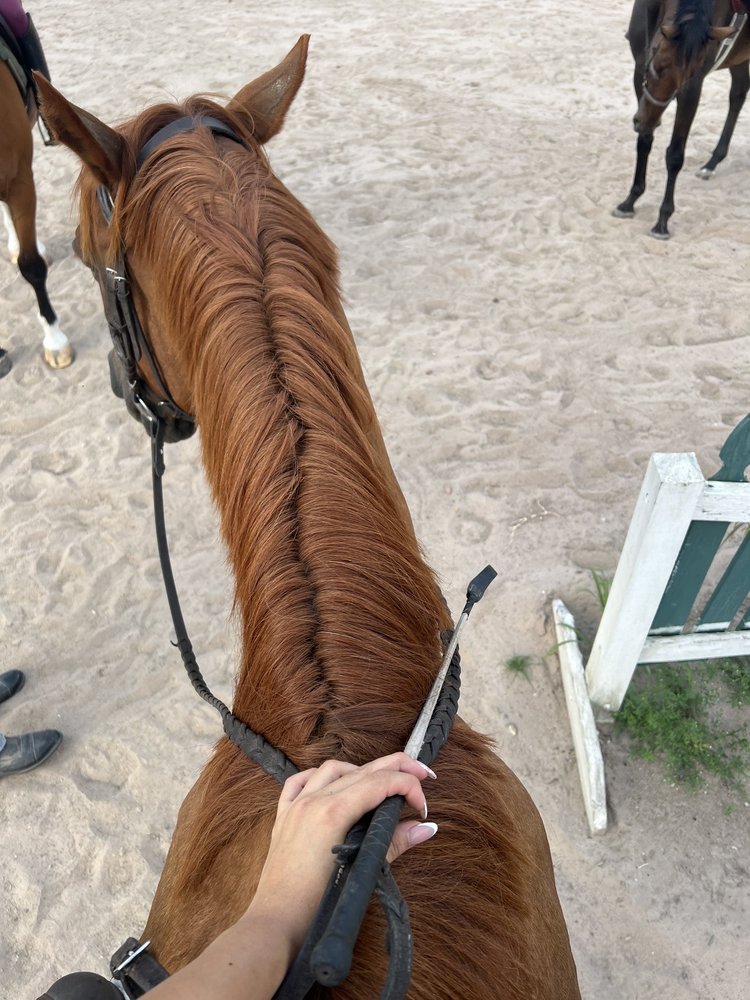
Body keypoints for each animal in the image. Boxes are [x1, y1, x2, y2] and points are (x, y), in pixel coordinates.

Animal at [614, 0, 750, 238]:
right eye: (657, 62)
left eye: (689, 76)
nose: (647, 120)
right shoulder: (639, 69)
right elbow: (644, 141)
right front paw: (631, 199)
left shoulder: (692, 89)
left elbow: (675, 155)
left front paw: (663, 220)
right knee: (739, 92)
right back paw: (712, 162)